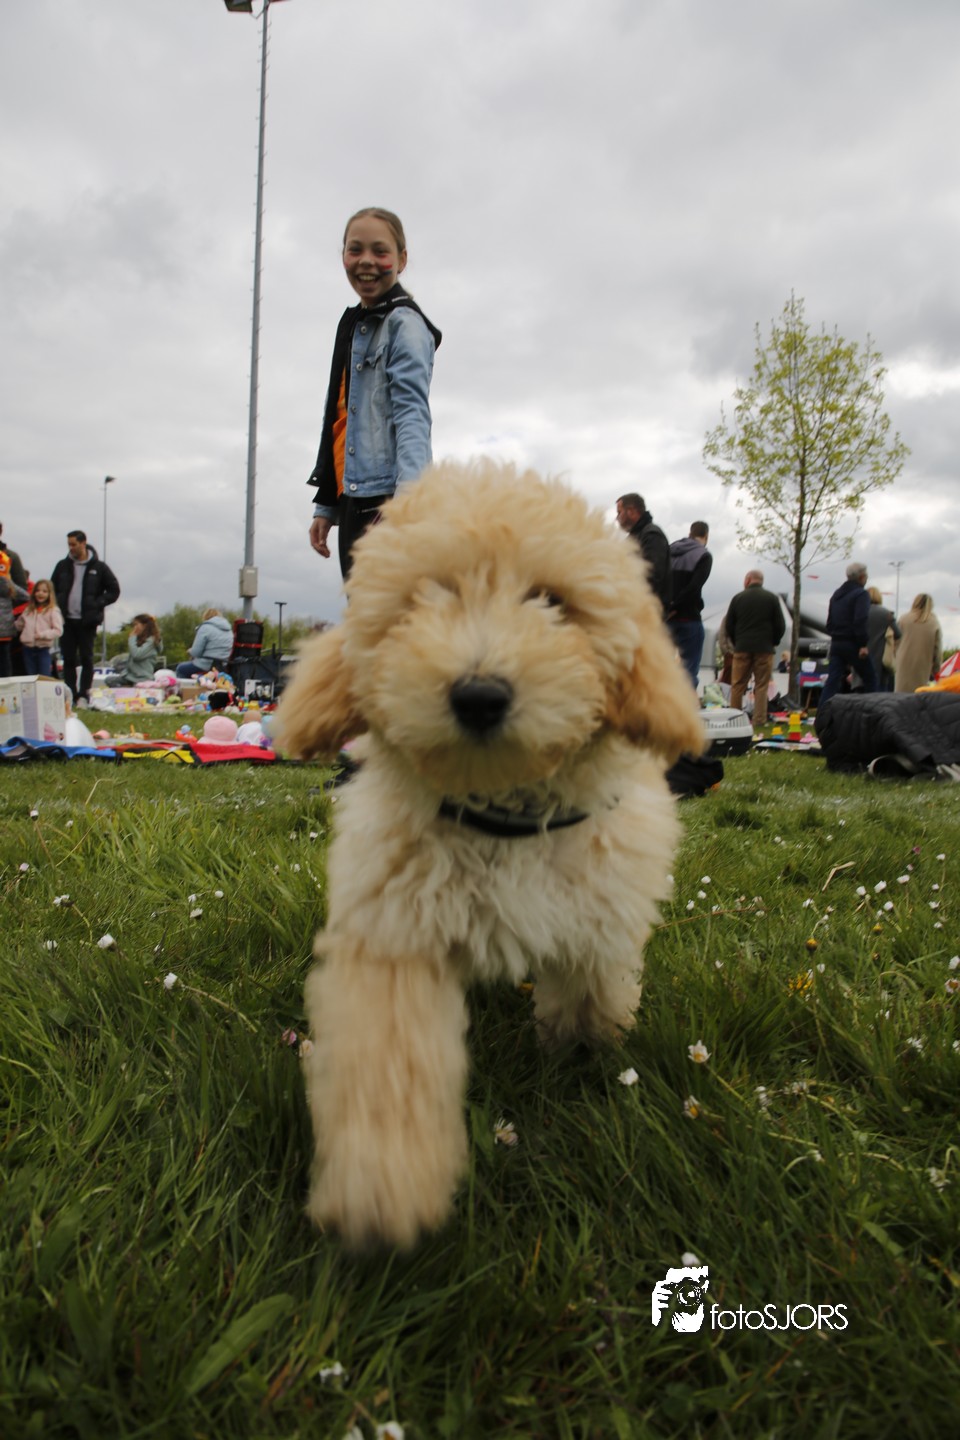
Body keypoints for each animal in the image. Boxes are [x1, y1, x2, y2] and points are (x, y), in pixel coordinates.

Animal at [276, 460, 705, 1248]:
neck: (503, 811)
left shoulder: (599, 907)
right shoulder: (394, 932)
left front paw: (589, 1052)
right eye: (425, 598)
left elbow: (592, 992)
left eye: (551, 601)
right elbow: (389, 1060)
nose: (478, 695)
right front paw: (383, 1183)